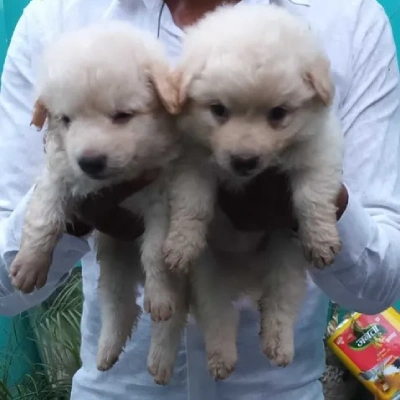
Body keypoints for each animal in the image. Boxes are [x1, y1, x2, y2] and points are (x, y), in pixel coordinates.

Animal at [7, 25, 186, 374]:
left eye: (122, 115)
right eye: (66, 120)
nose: (89, 162)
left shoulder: (162, 200)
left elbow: (156, 252)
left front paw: (159, 295)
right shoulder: (58, 174)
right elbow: (43, 218)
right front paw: (29, 264)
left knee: (171, 317)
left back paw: (159, 359)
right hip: (113, 265)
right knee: (119, 307)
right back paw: (107, 351)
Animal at [153, 3, 344, 382]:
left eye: (278, 114)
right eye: (218, 110)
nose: (244, 161)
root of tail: (245, 275)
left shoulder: (317, 153)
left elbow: (312, 198)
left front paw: (321, 240)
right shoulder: (191, 162)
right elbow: (192, 205)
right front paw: (181, 244)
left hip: (285, 257)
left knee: (280, 303)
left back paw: (278, 344)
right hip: (208, 272)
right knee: (219, 317)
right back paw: (222, 358)